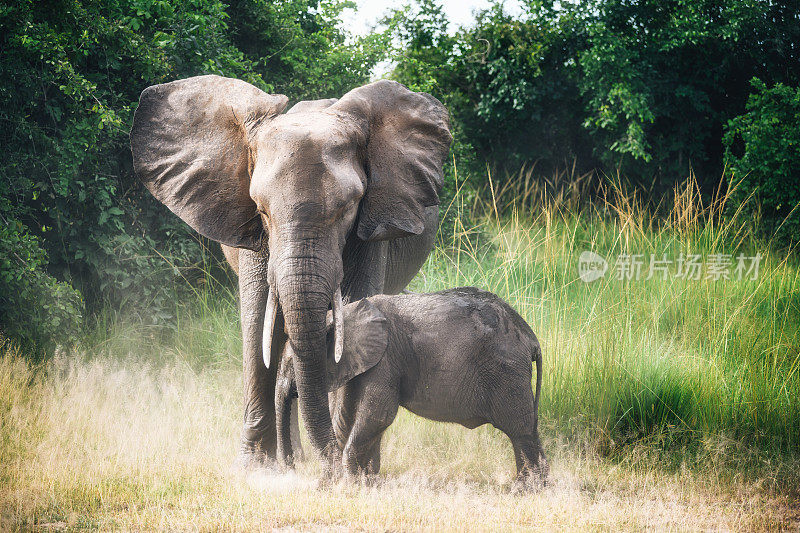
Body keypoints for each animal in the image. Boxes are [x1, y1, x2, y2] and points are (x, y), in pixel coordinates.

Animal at [128, 74, 446, 470]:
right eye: (261, 209)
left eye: (349, 207)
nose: (331, 463)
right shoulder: (254, 236)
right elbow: (257, 325)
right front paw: (255, 468)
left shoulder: (371, 231)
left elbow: (353, 314)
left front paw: (349, 463)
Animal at [278, 286, 548, 490]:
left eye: (289, 364)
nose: (290, 468)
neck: (346, 314)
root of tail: (531, 338)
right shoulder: (359, 362)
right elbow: (346, 417)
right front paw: (362, 483)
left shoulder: (385, 359)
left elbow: (378, 415)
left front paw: (351, 483)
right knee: (525, 430)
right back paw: (532, 487)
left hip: (507, 371)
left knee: (520, 430)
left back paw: (527, 490)